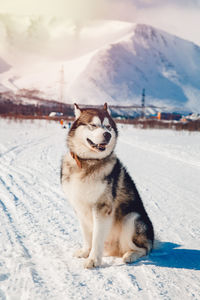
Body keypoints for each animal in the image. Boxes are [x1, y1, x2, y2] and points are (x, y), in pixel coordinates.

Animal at [60, 103, 154, 270]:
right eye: (93, 125)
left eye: (109, 127)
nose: (107, 135)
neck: (87, 162)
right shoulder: (80, 208)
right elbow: (87, 236)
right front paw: (85, 252)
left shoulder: (102, 208)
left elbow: (97, 238)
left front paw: (93, 260)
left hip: (131, 218)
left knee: (144, 249)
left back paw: (130, 255)